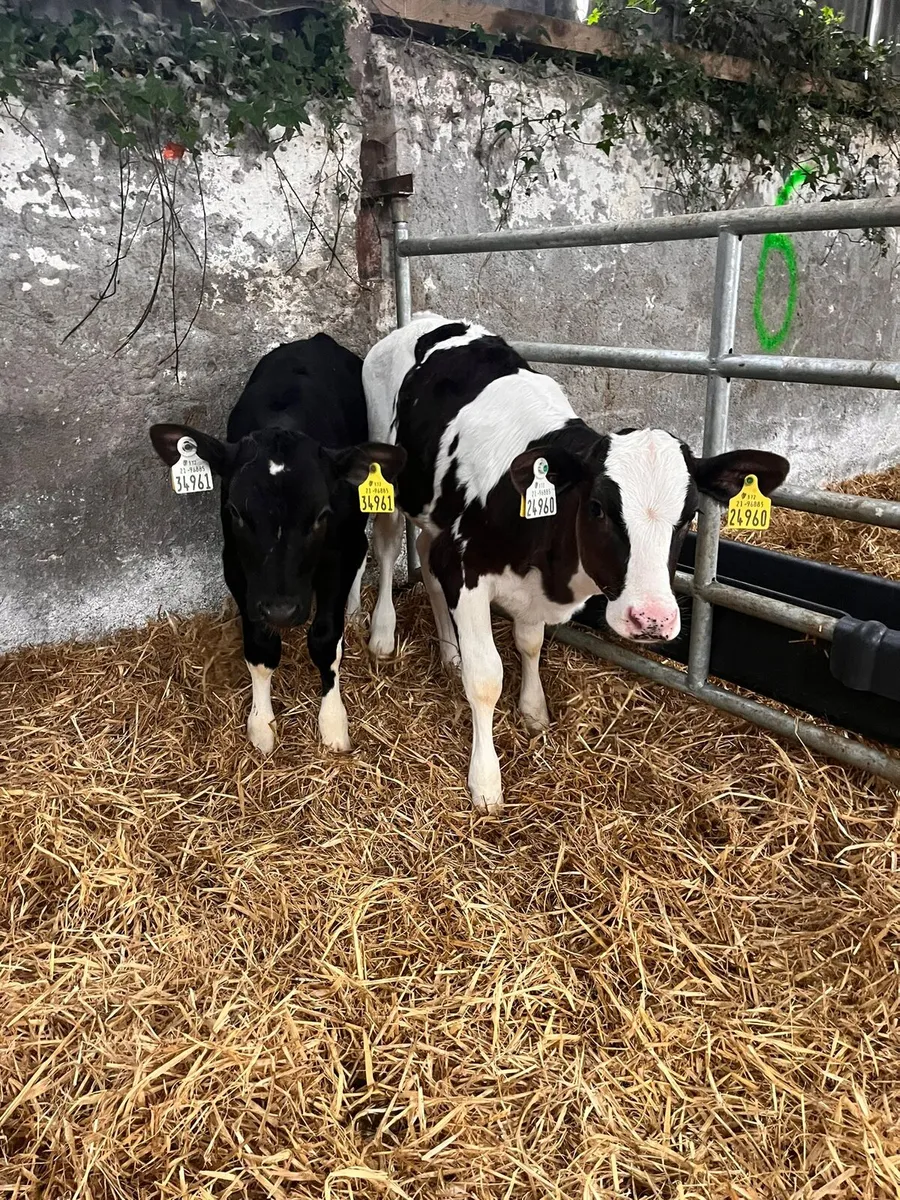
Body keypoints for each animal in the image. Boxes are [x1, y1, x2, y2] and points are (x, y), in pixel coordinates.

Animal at [150, 334, 405, 756]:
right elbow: (259, 646)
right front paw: (261, 725)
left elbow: (326, 639)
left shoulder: (337, 553)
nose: (281, 610)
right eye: (236, 512)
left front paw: (332, 723)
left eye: (321, 515)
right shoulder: (238, 566)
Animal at [362, 312, 790, 812]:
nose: (652, 619)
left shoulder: (515, 582)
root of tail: (427, 320)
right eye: (598, 508)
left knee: (428, 571)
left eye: (689, 515)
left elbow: (530, 645)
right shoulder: (465, 567)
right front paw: (486, 782)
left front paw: (533, 710)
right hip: (386, 477)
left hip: (434, 520)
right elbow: (486, 677)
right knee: (387, 546)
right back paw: (383, 635)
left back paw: (449, 651)